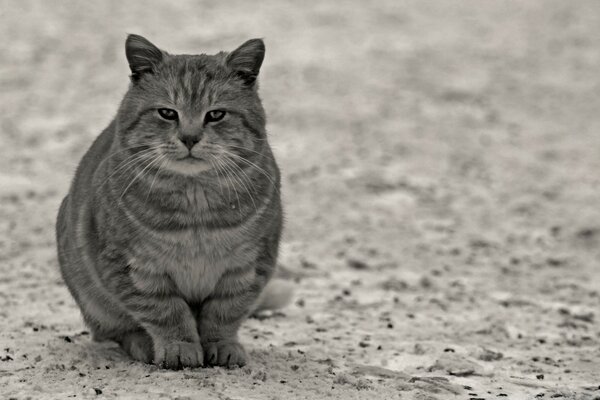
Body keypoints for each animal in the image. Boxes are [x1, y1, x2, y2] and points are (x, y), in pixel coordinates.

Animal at [55, 34, 288, 368]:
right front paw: (179, 347)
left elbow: (224, 313)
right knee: (116, 331)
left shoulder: (248, 266)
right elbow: (167, 312)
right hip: (93, 297)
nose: (189, 138)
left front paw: (222, 345)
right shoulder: (135, 268)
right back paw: (142, 344)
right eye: (167, 113)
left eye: (215, 114)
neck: (196, 206)